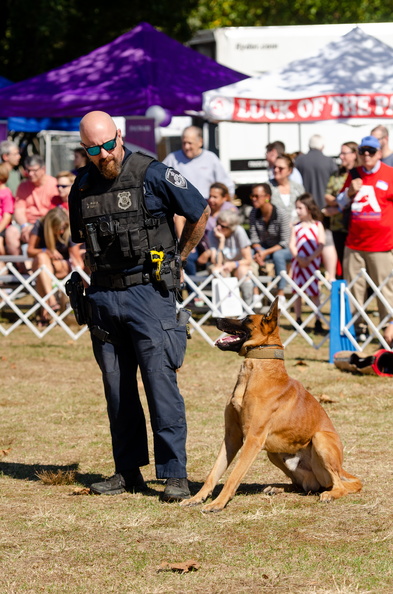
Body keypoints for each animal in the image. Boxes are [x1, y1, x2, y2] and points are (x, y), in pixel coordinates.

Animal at [181, 298, 362, 512]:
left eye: (246, 319)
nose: (216, 318)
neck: (256, 369)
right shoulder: (232, 437)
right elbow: (214, 472)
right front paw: (197, 498)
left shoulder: (253, 439)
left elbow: (233, 476)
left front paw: (218, 503)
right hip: (274, 453)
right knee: (302, 485)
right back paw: (277, 488)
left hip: (320, 439)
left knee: (340, 486)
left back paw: (331, 494)